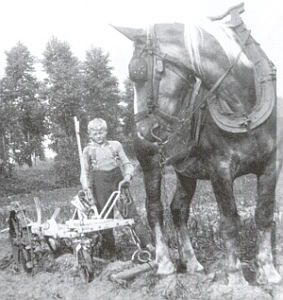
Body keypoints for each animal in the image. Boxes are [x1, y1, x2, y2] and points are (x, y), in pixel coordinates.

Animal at [114, 15, 282, 284]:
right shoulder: (220, 169)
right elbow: (230, 220)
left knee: (179, 210)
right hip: (150, 165)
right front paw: (235, 277)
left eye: (137, 73)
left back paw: (192, 262)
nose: (141, 133)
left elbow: (264, 214)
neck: (245, 109)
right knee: (155, 210)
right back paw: (165, 264)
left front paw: (268, 272)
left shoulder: (271, 165)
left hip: (185, 172)